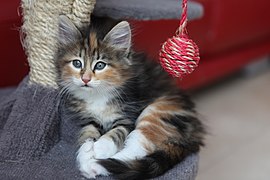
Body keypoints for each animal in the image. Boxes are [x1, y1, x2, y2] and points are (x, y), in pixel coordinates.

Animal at [56, 15, 205, 180]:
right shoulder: (89, 119)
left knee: (138, 147)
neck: (98, 94)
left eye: (100, 65)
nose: (86, 79)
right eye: (77, 63)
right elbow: (87, 134)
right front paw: (85, 154)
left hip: (158, 111)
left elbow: (116, 132)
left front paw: (99, 148)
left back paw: (97, 164)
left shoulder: (129, 114)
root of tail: (194, 132)